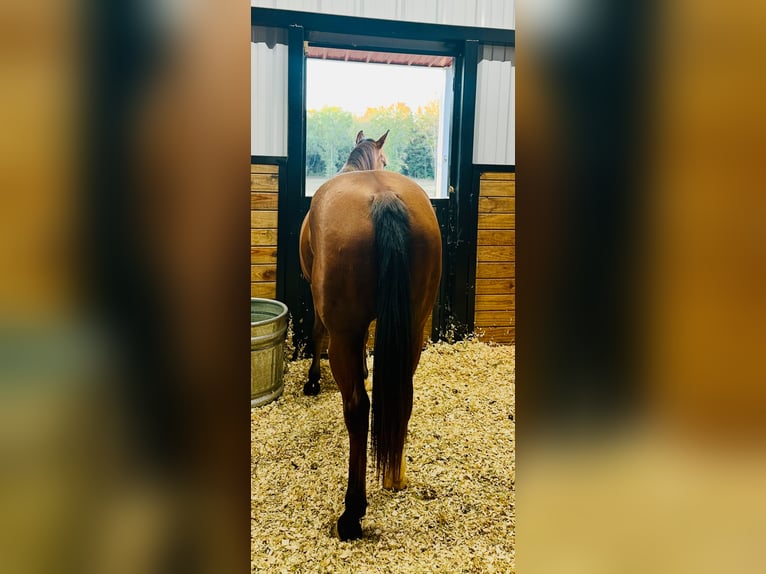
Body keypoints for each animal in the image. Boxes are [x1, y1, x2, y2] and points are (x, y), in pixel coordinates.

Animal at [299, 130, 442, 540]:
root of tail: (383, 196)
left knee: (358, 408)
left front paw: (312, 381)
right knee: (403, 394)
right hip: (415, 328)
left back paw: (352, 512)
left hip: (344, 332)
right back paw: (394, 476)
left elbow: (316, 332)